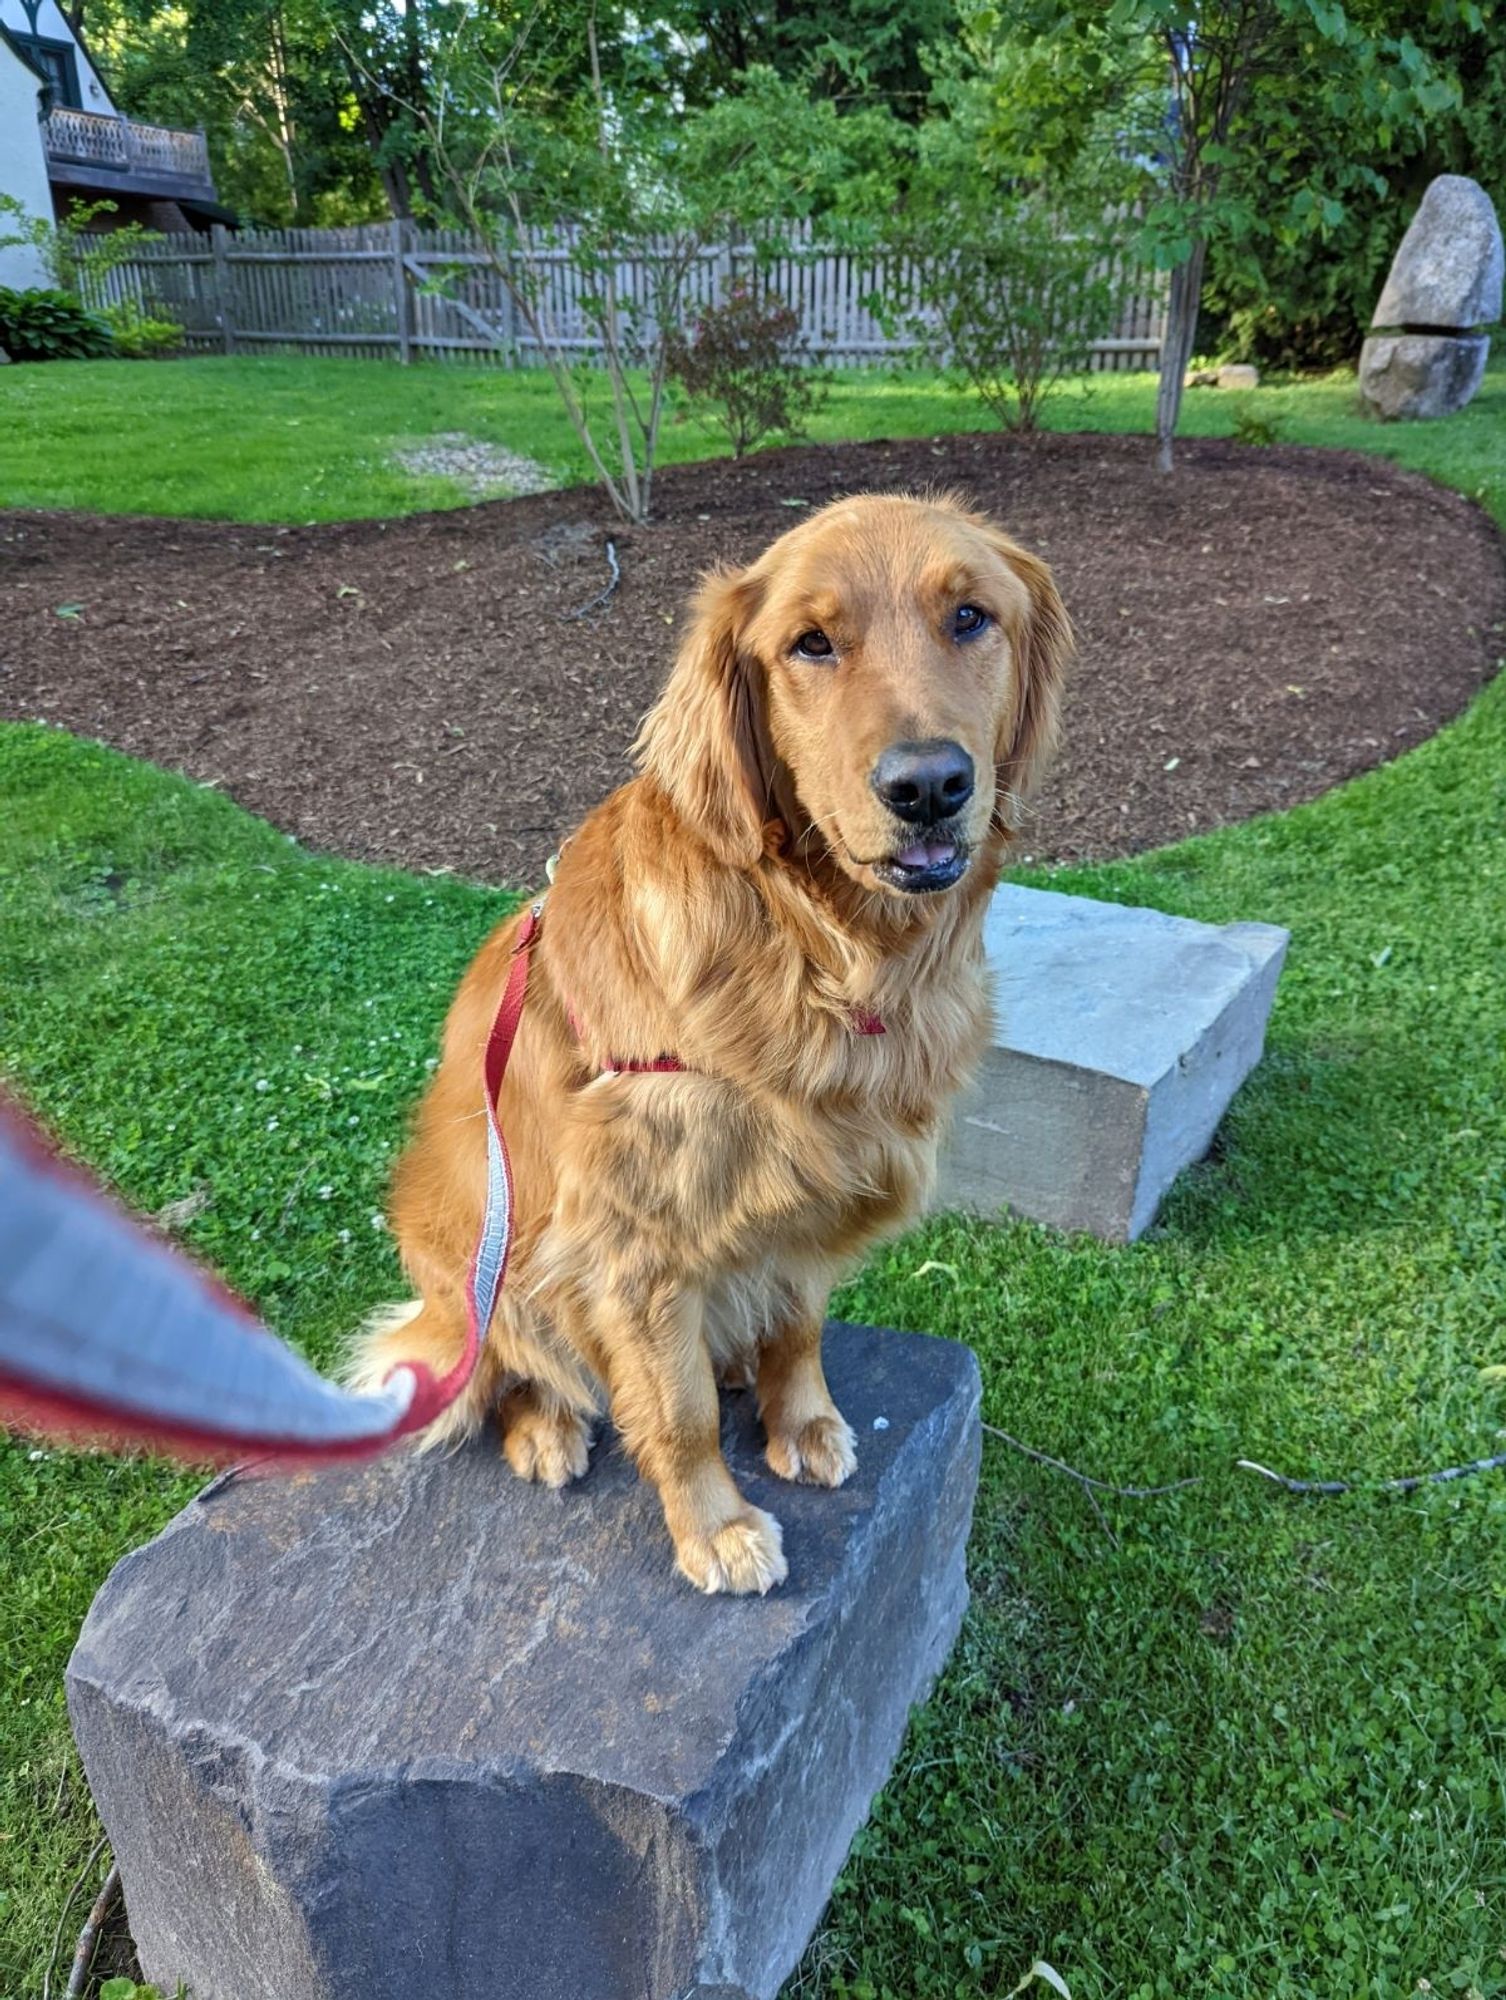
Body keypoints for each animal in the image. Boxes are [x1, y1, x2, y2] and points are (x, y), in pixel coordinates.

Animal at [346, 496, 1064, 1592]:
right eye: (811, 643)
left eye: (971, 616)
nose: (929, 784)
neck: (822, 950)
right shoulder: (633, 1244)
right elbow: (675, 1414)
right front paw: (716, 1527)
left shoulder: (813, 1191)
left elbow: (798, 1329)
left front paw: (799, 1421)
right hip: (476, 1241)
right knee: (515, 1364)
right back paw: (547, 1424)